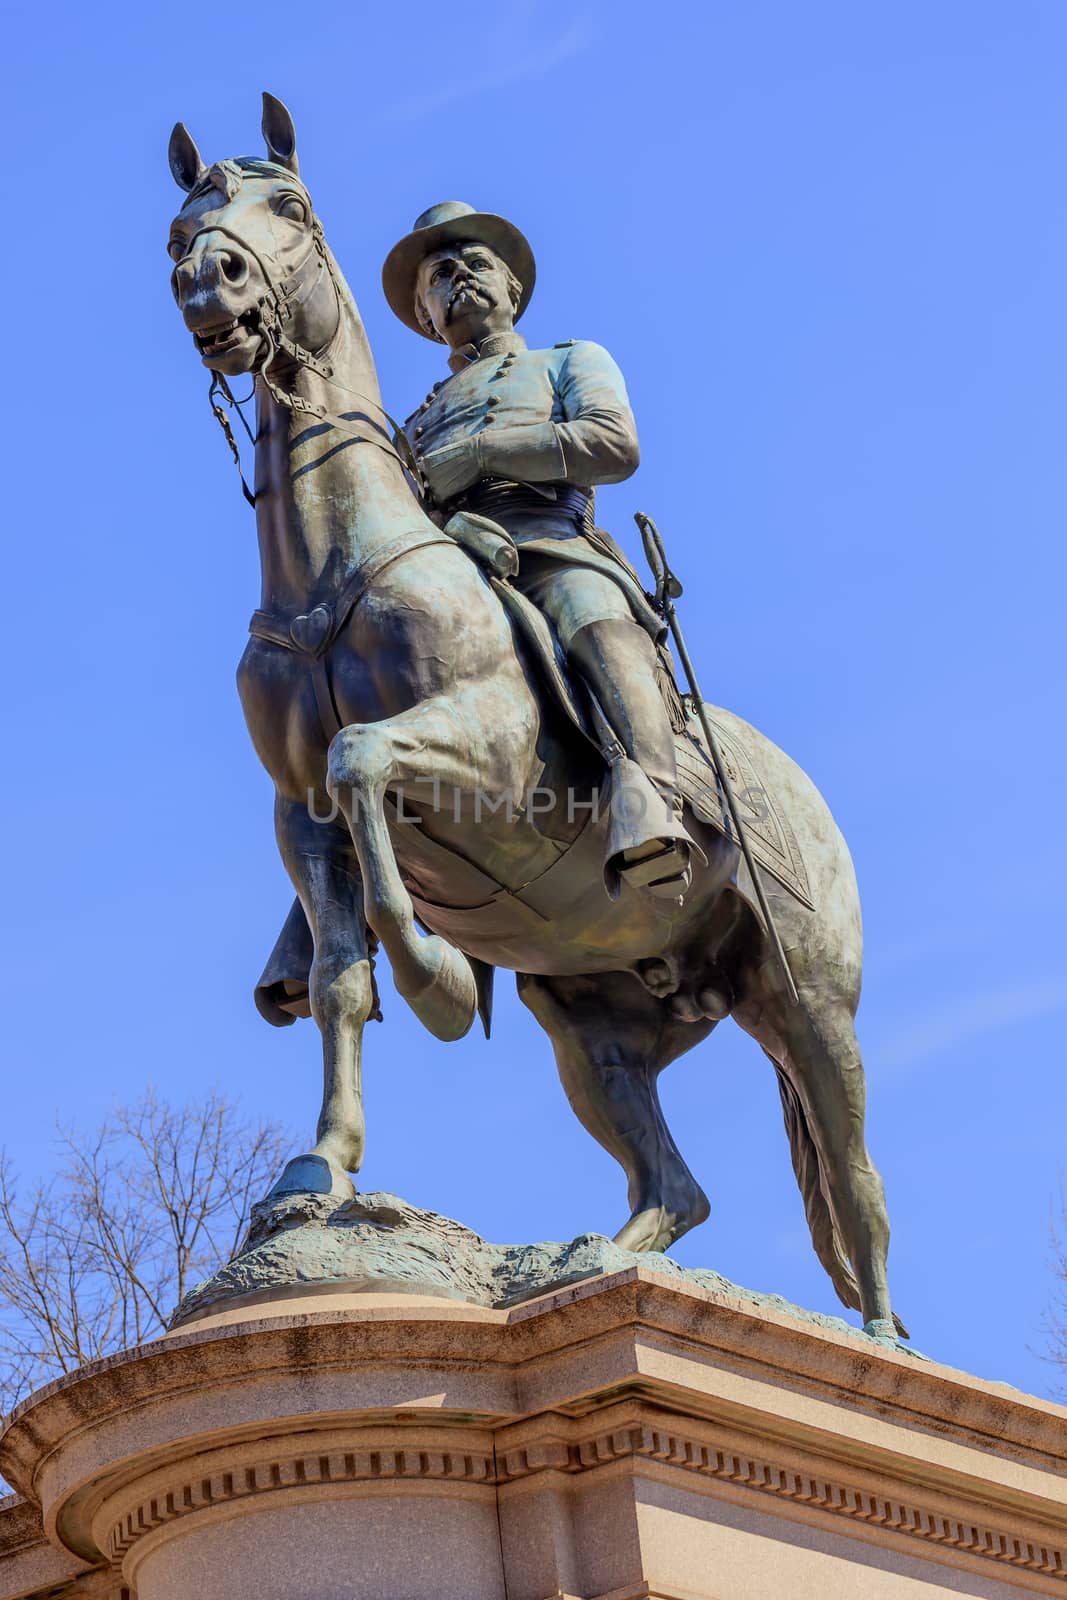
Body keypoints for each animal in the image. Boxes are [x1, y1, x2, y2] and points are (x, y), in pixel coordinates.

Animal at [168, 96, 908, 1337]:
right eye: (184, 220)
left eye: (291, 208)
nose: (205, 280)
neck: (334, 576)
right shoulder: (299, 814)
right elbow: (335, 976)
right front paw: (321, 1167)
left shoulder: (486, 758)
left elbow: (367, 760)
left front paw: (438, 976)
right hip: (594, 1028)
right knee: (674, 1187)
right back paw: (588, 1264)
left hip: (809, 1003)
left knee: (856, 1178)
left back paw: (879, 1341)